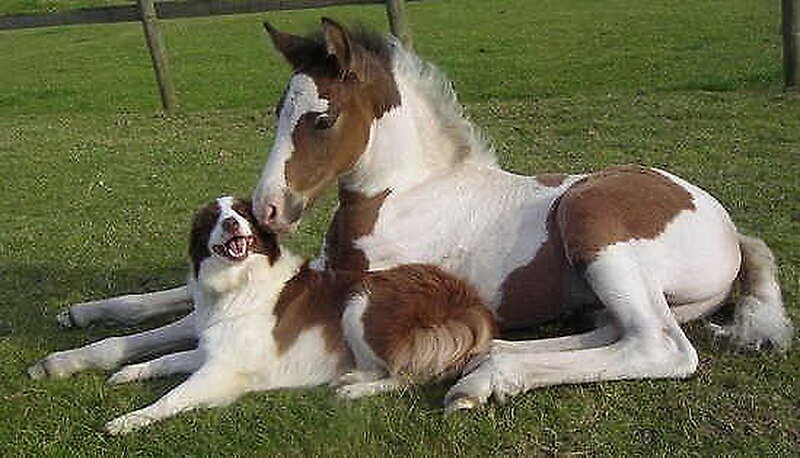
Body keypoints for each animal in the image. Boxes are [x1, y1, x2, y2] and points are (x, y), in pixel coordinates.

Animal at [31, 18, 792, 413]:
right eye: (275, 110)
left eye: (320, 117)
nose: (269, 212)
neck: (404, 193)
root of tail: (730, 228)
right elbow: (159, 307)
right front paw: (72, 337)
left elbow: (181, 322)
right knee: (607, 335)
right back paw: (488, 363)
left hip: (593, 222)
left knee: (660, 348)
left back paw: (485, 379)